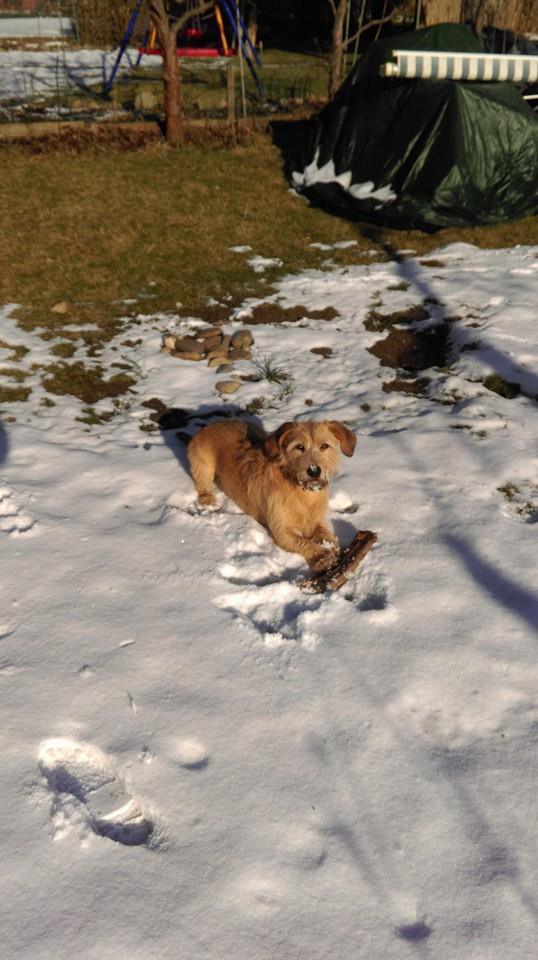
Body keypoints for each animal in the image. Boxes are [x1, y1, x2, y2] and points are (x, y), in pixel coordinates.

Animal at [186, 418, 354, 568]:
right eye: (299, 446)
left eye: (324, 446)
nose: (314, 471)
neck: (302, 493)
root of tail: (211, 424)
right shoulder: (282, 532)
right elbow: (304, 542)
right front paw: (322, 557)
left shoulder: (317, 520)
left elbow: (325, 533)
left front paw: (331, 545)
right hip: (204, 466)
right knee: (202, 485)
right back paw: (207, 498)